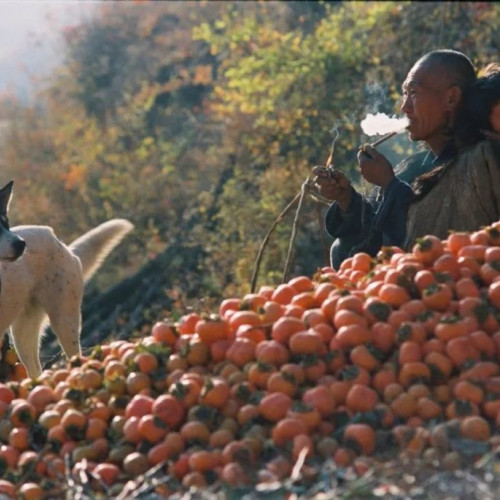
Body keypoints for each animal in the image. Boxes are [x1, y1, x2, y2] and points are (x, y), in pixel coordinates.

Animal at [0, 182, 133, 376]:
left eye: (6, 224)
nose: (21, 244)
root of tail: (61, 244)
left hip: (63, 321)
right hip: (23, 334)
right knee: (35, 371)